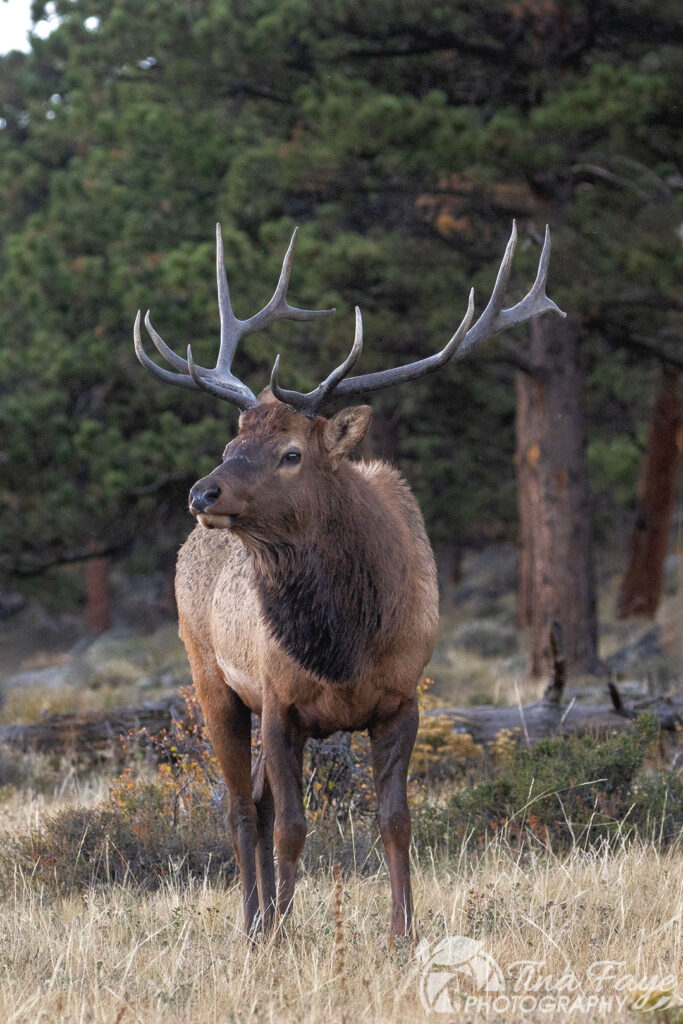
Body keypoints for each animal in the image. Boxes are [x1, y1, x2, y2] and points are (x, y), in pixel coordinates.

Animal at [134, 221, 565, 941]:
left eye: (290, 453)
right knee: (239, 808)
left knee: (252, 801)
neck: (344, 645)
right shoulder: (280, 702)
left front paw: (402, 932)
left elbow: (395, 820)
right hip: (210, 676)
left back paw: (261, 918)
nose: (202, 492)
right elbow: (291, 826)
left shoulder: (401, 699)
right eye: (230, 446)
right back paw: (253, 923)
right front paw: (282, 932)